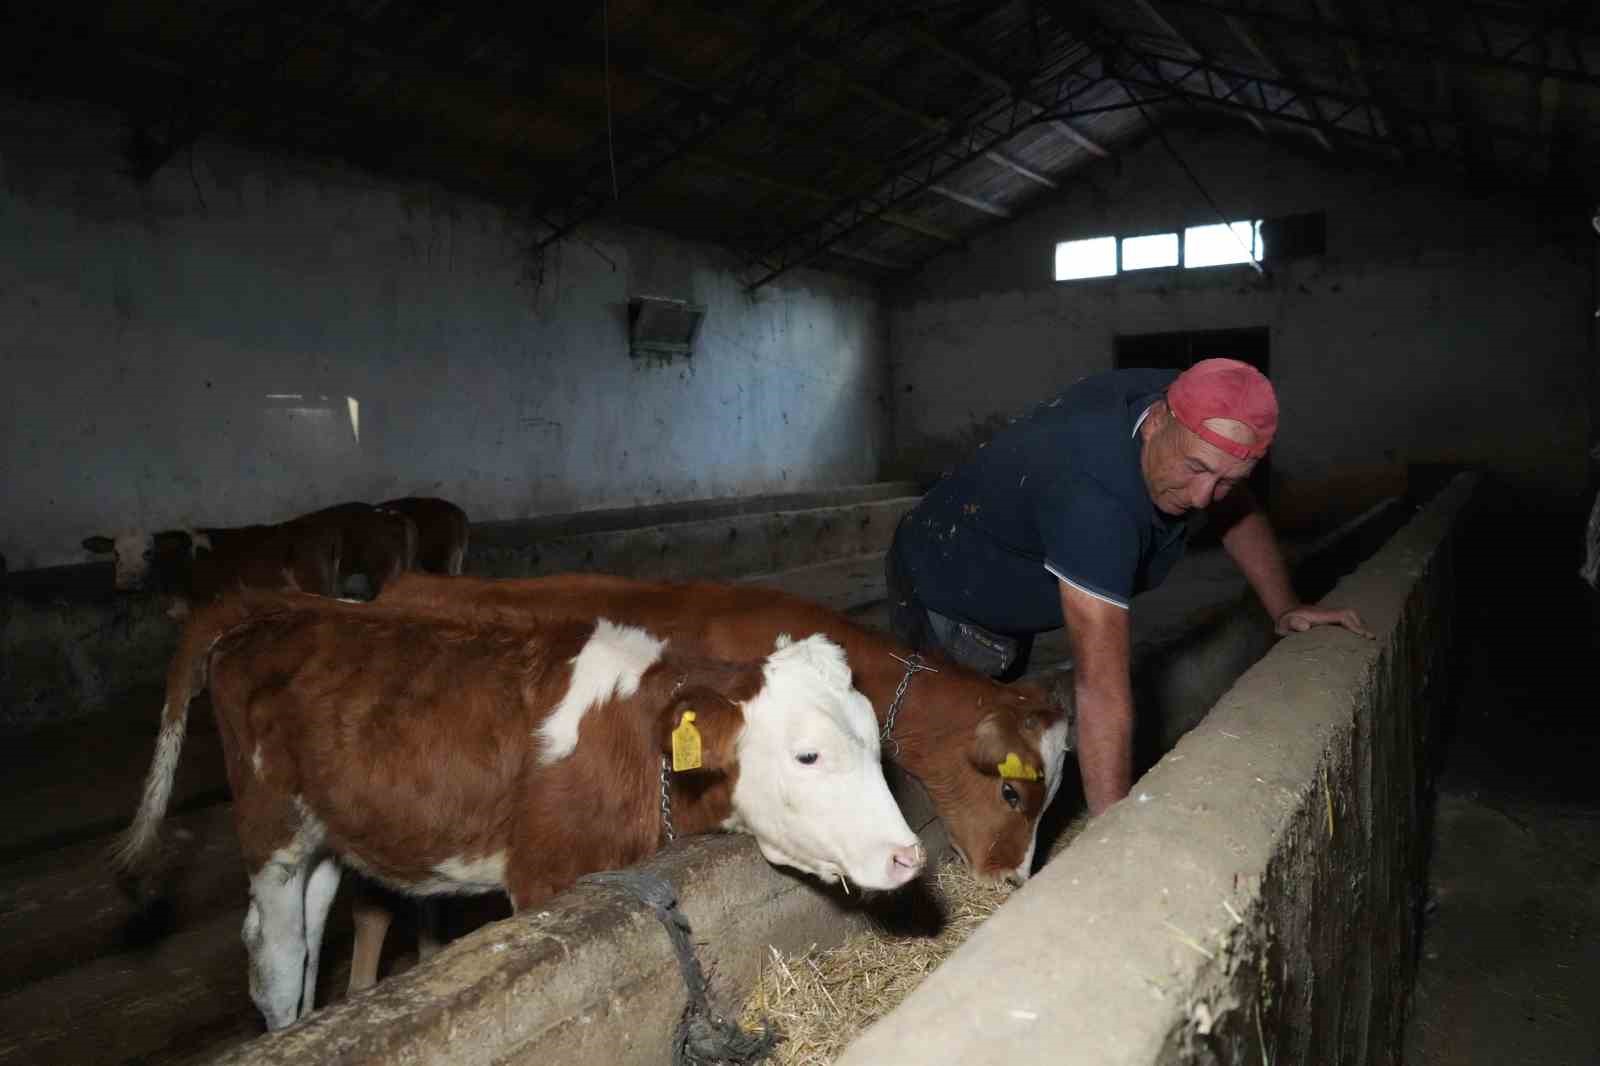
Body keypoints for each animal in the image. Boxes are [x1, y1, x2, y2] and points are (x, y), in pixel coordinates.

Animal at [116, 589, 928, 1030]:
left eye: (874, 740)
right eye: (808, 755)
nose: (909, 855)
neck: (638, 743)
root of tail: (268, 612)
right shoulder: (544, 874)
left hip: (322, 828)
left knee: (312, 927)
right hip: (271, 825)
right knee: (277, 956)